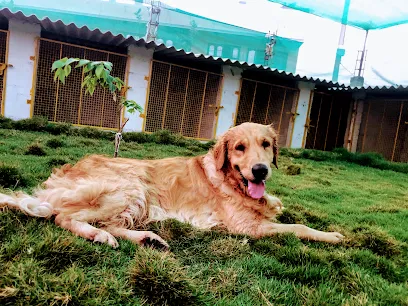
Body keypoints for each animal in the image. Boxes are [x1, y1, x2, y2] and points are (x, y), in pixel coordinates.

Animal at [0, 122, 344, 249]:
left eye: (266, 144)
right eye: (239, 148)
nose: (260, 171)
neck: (231, 182)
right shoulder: (247, 227)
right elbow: (298, 227)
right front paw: (333, 236)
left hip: (134, 198)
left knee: (109, 223)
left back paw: (148, 238)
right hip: (129, 186)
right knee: (63, 217)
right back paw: (99, 236)